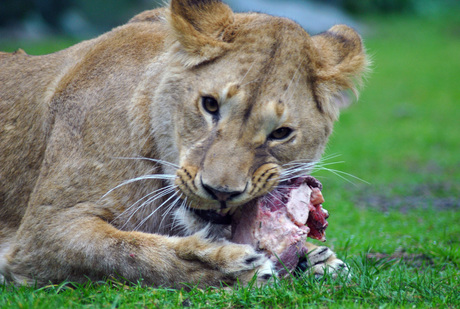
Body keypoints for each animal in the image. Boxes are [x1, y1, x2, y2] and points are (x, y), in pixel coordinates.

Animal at [0, 0, 366, 288]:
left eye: (281, 133)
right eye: (210, 104)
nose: (221, 192)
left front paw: (317, 258)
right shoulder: (38, 236)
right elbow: (126, 252)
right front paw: (229, 267)